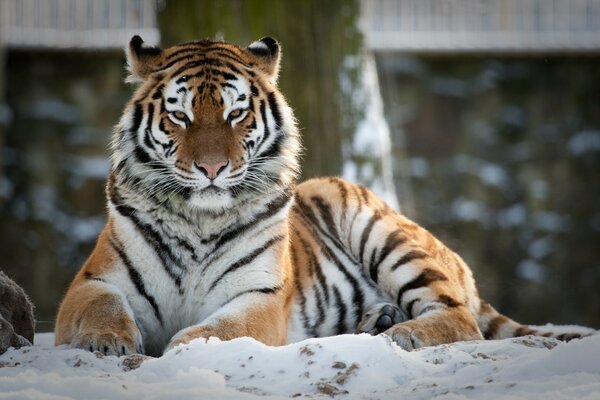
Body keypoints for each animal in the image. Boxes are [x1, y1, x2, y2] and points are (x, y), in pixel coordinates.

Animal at [54, 36, 592, 356]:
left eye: (235, 114)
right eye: (180, 116)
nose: (211, 169)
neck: (198, 220)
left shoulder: (259, 297)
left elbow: (212, 330)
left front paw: (185, 348)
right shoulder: (95, 280)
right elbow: (100, 309)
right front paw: (107, 343)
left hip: (385, 234)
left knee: (460, 318)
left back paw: (403, 332)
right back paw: (378, 320)